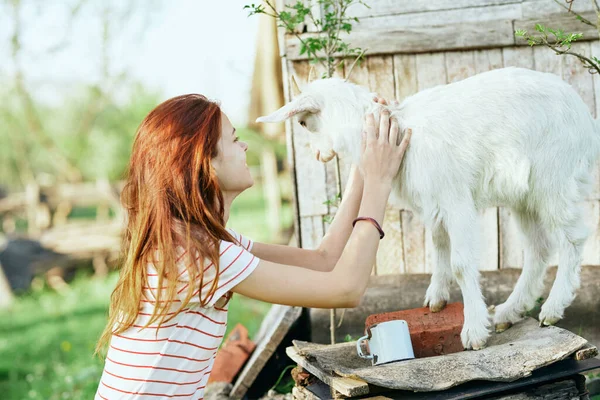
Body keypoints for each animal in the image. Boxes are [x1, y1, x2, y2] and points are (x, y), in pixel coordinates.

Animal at [256, 67, 600, 352]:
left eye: (303, 122)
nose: (317, 156)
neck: (399, 127)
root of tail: (586, 119)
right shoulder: (434, 204)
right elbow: (438, 244)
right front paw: (437, 298)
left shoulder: (455, 199)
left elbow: (461, 263)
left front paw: (474, 332)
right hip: (524, 194)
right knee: (538, 248)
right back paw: (509, 311)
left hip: (554, 177)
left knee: (572, 239)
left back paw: (551, 309)